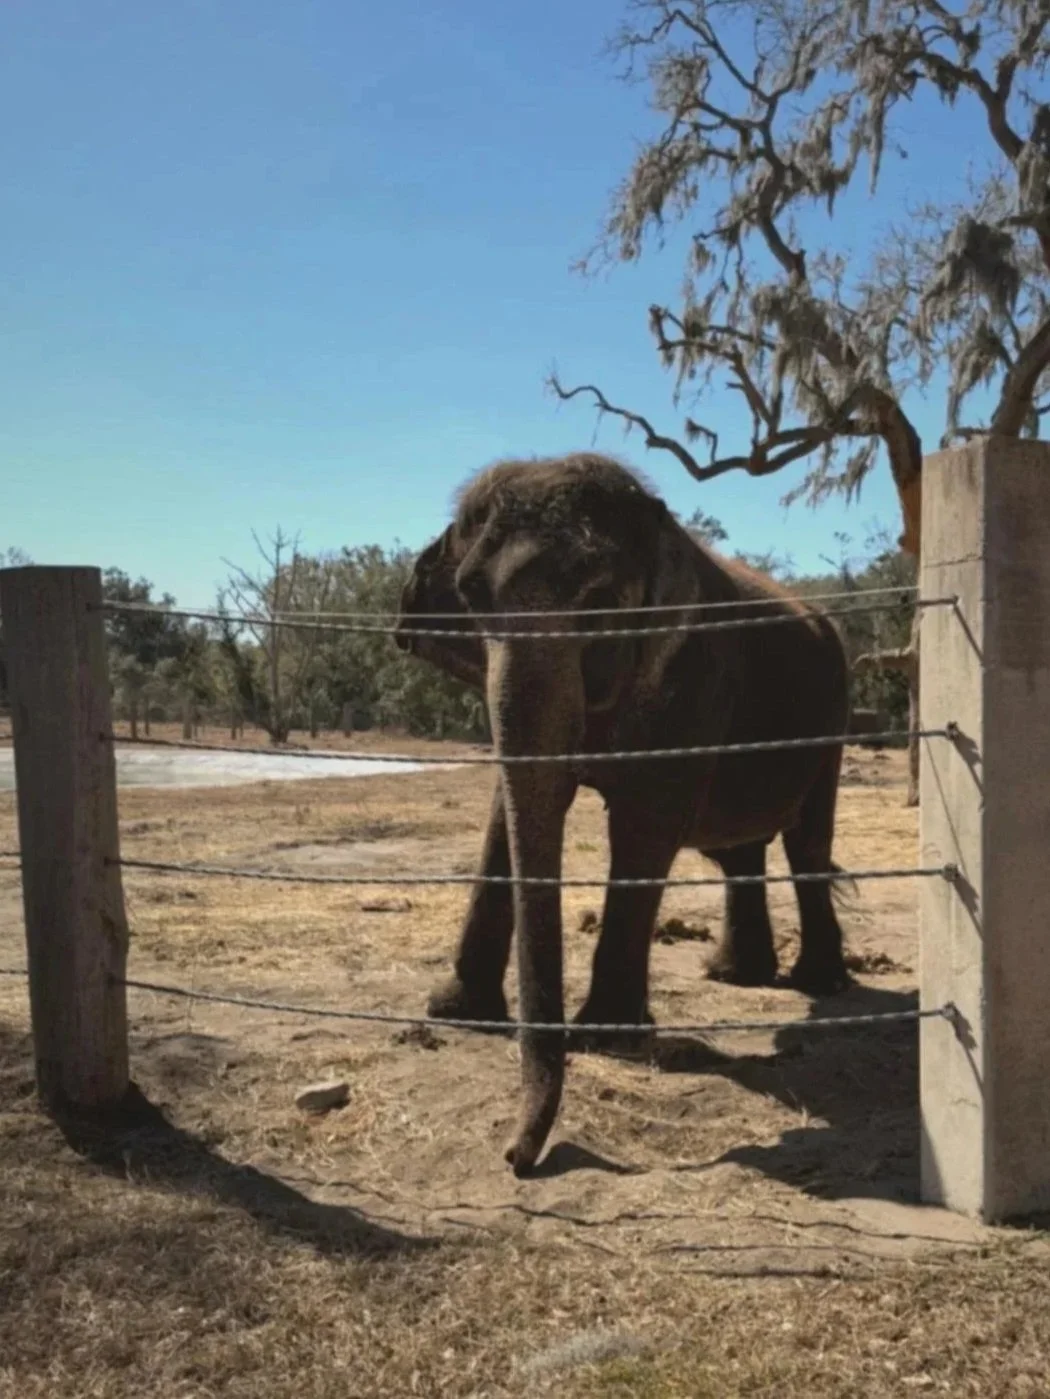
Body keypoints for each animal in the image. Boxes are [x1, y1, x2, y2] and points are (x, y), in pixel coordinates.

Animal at [394, 452, 851, 1175]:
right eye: (470, 598)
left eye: (602, 603)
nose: (516, 1157)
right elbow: (508, 809)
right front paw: (456, 1013)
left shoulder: (695, 675)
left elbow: (645, 821)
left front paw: (605, 1037)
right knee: (741, 852)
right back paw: (735, 974)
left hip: (832, 722)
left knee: (807, 844)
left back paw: (821, 982)